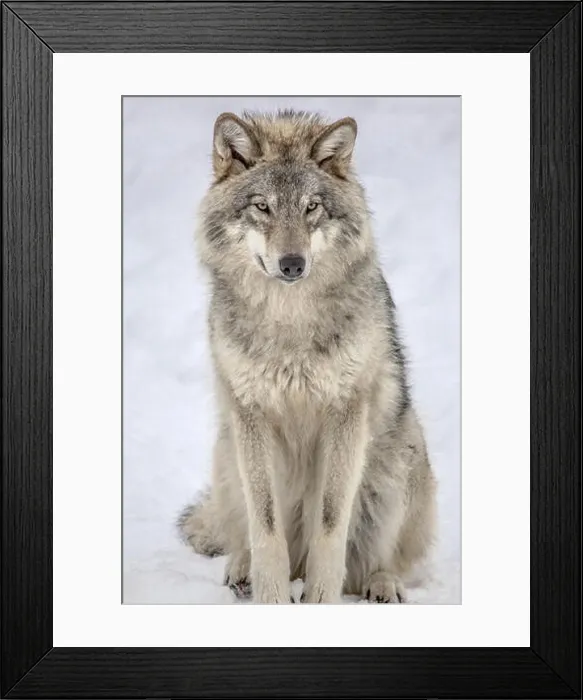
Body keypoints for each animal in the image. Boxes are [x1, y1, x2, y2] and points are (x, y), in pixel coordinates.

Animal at [178, 109, 437, 603]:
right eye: (262, 207)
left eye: (311, 207)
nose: (292, 264)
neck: (290, 323)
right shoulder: (250, 413)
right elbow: (264, 523)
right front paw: (272, 595)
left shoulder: (346, 411)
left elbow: (332, 520)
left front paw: (320, 596)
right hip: (227, 451)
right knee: (241, 534)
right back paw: (241, 570)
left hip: (400, 456)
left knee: (382, 560)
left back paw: (381, 584)